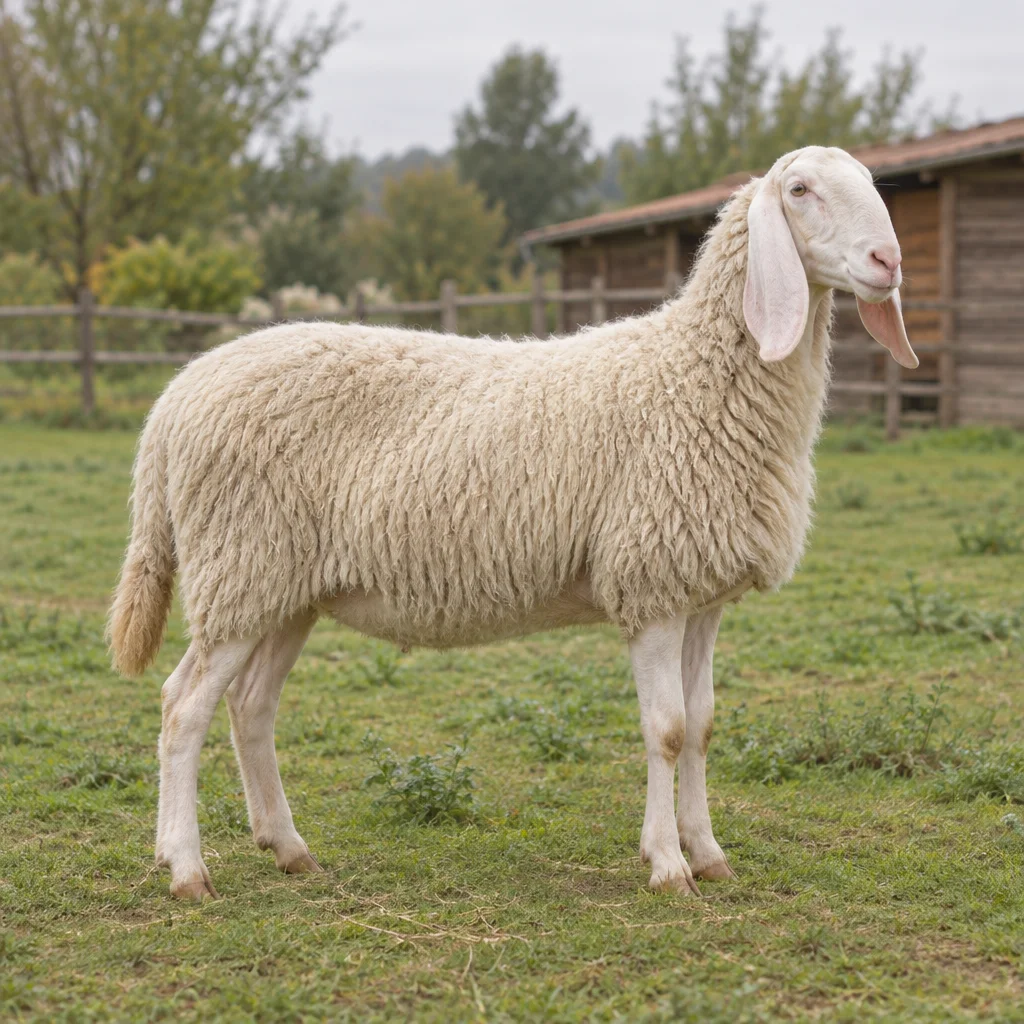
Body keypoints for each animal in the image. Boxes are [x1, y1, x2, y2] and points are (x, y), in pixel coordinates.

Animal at [109, 145, 917, 901]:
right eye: (800, 190)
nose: (889, 261)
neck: (692, 376)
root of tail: (175, 398)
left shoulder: (701, 592)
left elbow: (703, 724)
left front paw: (710, 854)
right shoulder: (650, 584)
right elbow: (666, 729)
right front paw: (666, 865)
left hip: (284, 586)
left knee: (251, 707)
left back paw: (288, 847)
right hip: (240, 566)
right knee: (183, 708)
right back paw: (185, 867)